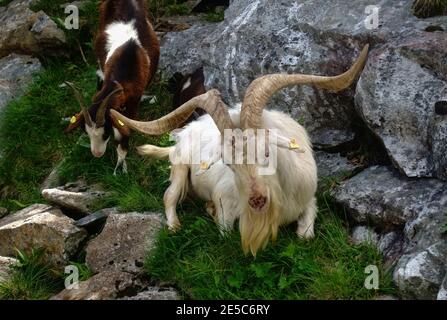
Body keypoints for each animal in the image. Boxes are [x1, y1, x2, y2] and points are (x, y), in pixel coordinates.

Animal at [65, 0, 159, 174]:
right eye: (86, 132)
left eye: (105, 132)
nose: (96, 153)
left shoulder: (133, 101)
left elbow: (125, 130)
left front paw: (121, 166)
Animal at [110, 44, 370, 255]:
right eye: (228, 164)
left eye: (267, 152)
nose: (257, 201)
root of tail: (185, 131)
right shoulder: (226, 199)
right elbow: (225, 231)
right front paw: (213, 212)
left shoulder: (309, 199)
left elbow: (305, 235)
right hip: (180, 167)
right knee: (169, 196)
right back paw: (175, 225)